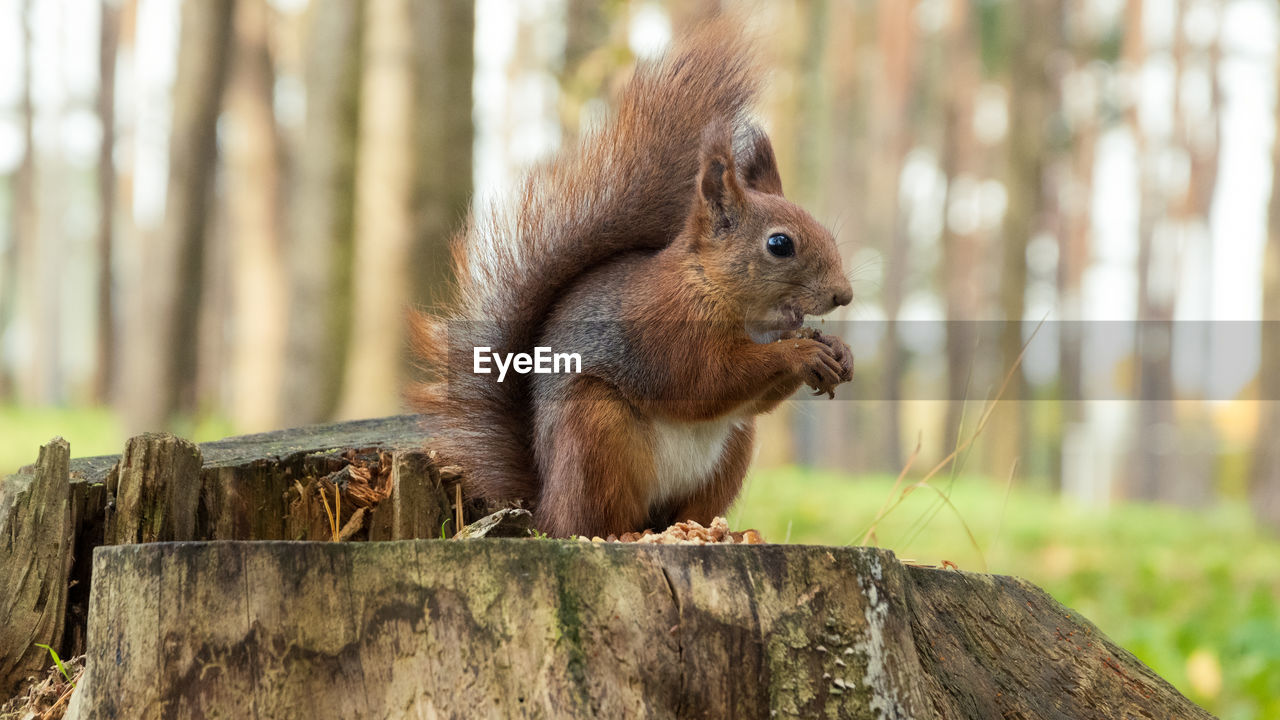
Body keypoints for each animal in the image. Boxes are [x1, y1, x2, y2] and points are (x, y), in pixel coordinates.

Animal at [409, 18, 849, 538]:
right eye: (780, 244)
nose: (845, 295)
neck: (711, 287)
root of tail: (545, 506)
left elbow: (748, 400)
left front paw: (835, 350)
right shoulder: (662, 330)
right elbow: (705, 381)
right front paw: (800, 352)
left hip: (728, 455)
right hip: (596, 434)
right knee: (593, 517)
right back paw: (623, 533)